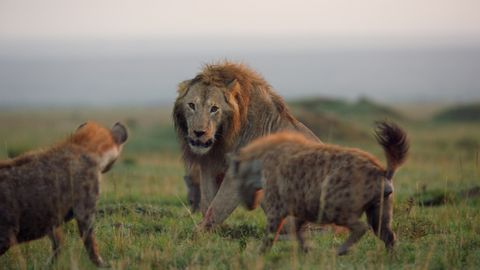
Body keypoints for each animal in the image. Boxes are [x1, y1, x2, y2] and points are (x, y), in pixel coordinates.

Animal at [173, 60, 322, 228]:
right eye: (192, 105)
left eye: (214, 109)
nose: (199, 132)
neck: (224, 137)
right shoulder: (209, 165)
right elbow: (207, 203)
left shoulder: (239, 174)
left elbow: (217, 207)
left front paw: (197, 232)